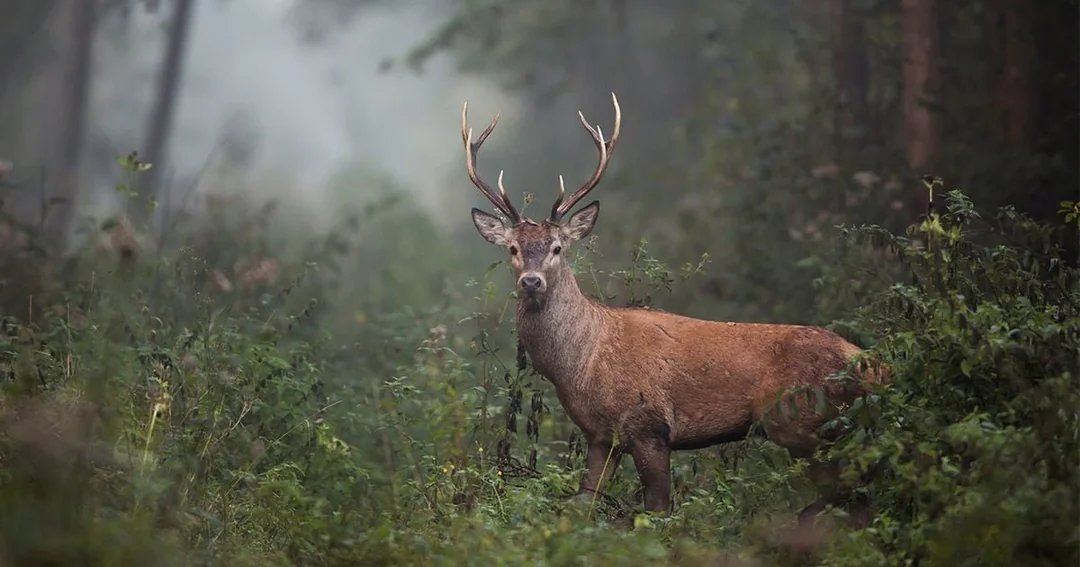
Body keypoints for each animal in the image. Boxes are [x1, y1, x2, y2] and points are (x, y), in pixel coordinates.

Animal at [460, 91, 889, 516]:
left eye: (557, 248)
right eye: (513, 248)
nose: (531, 281)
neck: (583, 365)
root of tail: (869, 363)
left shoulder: (651, 426)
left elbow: (656, 510)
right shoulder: (601, 436)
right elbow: (583, 504)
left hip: (802, 420)